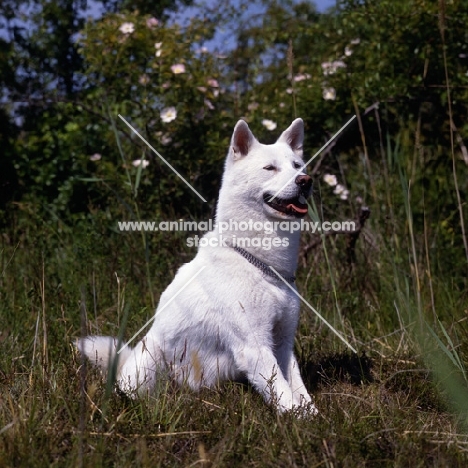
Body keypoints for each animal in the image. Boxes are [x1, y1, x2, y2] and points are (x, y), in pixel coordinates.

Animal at [77, 119, 318, 414]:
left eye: (297, 166)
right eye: (269, 168)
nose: (305, 181)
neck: (261, 265)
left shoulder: (283, 344)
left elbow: (299, 391)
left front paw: (314, 418)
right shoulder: (255, 346)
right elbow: (285, 396)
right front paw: (301, 422)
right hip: (150, 360)